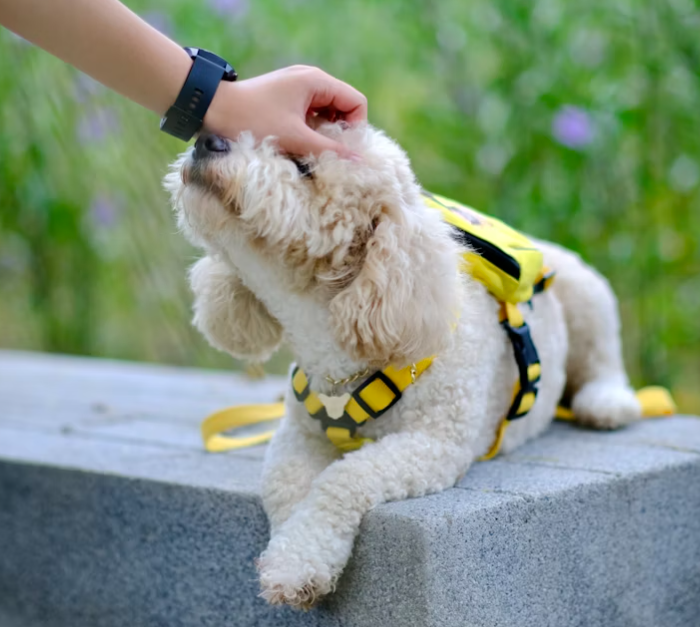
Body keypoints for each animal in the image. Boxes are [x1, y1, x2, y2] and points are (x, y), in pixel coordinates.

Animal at [165, 123, 641, 609]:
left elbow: (345, 476)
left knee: (605, 359)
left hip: (588, 295)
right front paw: (294, 558)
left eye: (303, 166)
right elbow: (283, 483)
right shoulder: (297, 433)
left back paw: (605, 403)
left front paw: (299, 562)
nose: (206, 141)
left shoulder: (434, 444)